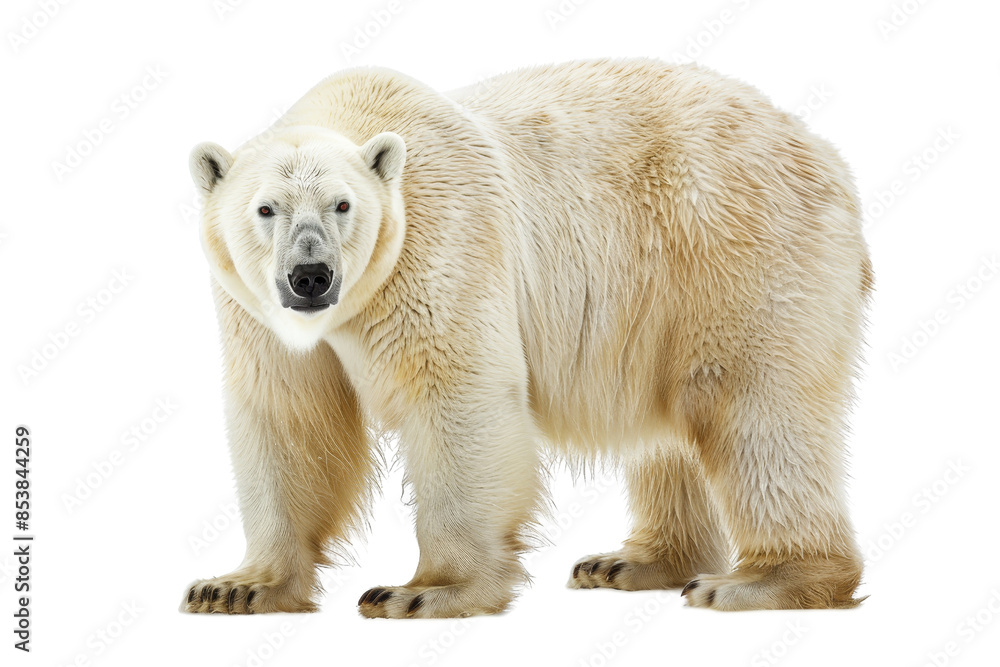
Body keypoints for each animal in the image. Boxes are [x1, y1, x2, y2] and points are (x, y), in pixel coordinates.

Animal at [184, 58, 872, 617]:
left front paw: (423, 591)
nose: (310, 276)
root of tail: (825, 155)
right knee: (670, 431)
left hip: (734, 246)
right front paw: (236, 587)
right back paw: (630, 562)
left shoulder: (443, 240)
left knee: (754, 408)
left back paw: (759, 581)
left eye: (343, 205)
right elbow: (288, 416)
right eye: (265, 209)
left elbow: (456, 395)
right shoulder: (255, 312)